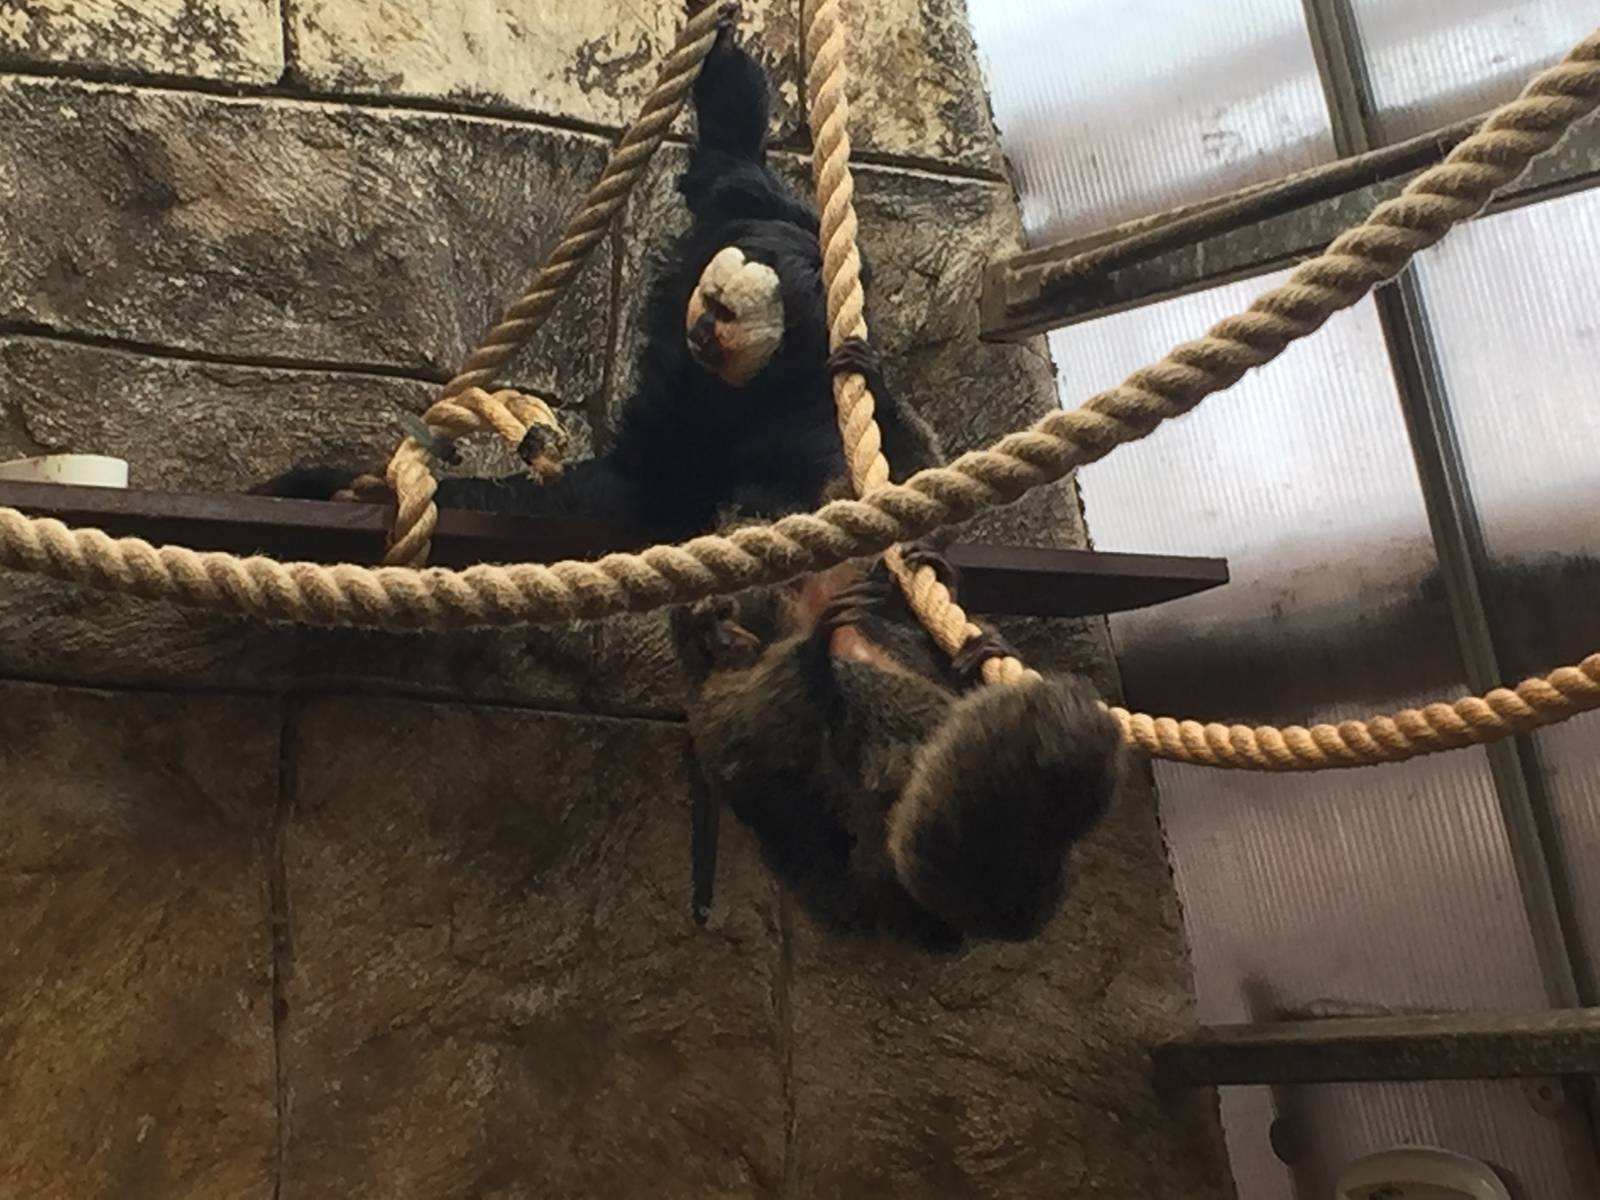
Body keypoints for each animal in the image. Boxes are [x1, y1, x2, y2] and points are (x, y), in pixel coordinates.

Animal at [253, 25, 942, 542]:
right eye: (711, 302)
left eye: (723, 318)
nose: (698, 330)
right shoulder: (752, 211)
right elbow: (728, 158)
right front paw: (720, 38)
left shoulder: (807, 404)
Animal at [671, 541, 1128, 952]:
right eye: (713, 624)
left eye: (723, 616)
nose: (721, 630)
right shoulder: (712, 704)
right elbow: (757, 744)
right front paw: (814, 647)